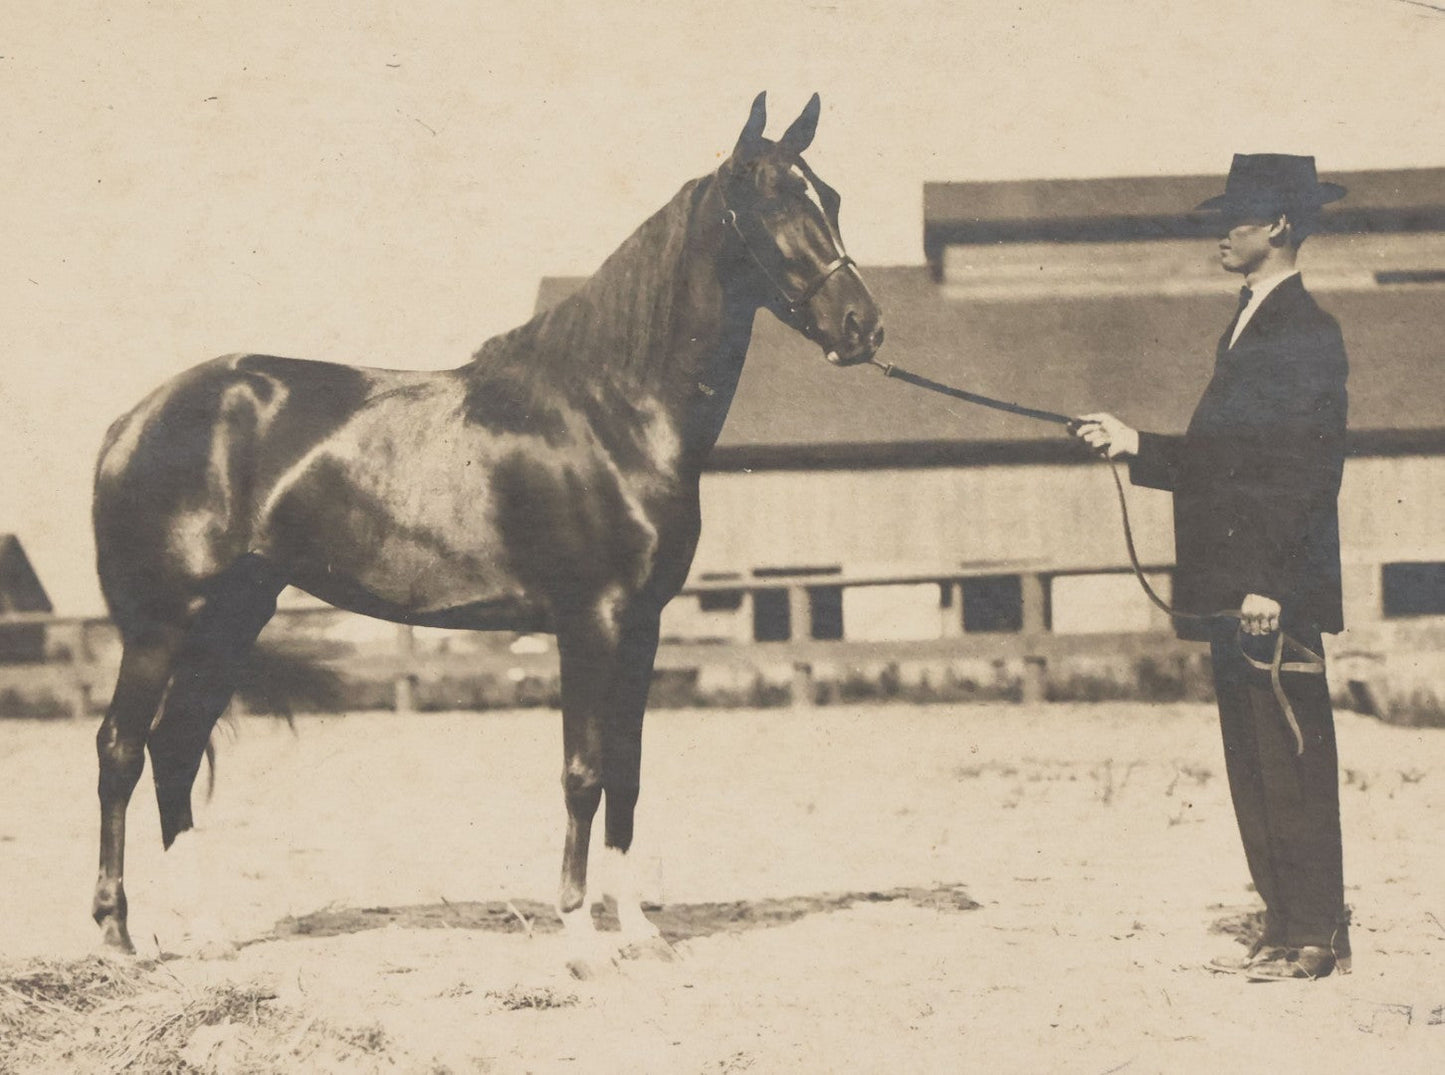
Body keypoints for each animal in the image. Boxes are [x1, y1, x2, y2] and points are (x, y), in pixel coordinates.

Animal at [89, 91, 884, 972]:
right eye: (771, 198)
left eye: (830, 196)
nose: (861, 325)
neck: (611, 409)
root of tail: (134, 419)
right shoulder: (589, 620)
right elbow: (582, 770)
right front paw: (579, 934)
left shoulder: (642, 625)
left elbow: (627, 770)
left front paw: (638, 929)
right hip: (161, 625)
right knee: (121, 749)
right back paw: (116, 936)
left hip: (231, 619)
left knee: (174, 747)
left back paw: (203, 930)